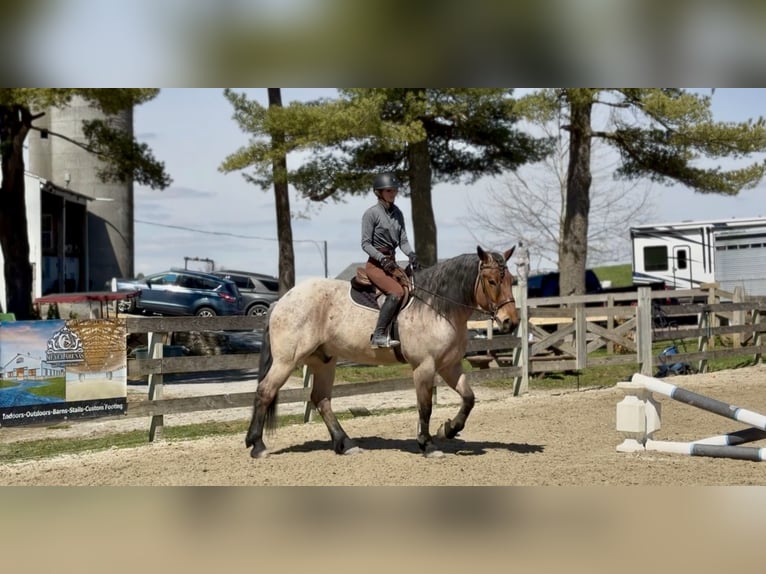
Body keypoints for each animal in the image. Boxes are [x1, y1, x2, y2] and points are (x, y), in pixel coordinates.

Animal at [245, 245, 518, 458]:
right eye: (492, 281)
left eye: (510, 280)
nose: (510, 322)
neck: (436, 307)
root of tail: (282, 301)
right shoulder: (425, 366)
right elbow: (425, 406)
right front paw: (427, 444)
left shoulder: (449, 366)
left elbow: (469, 398)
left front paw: (448, 429)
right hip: (286, 360)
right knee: (265, 391)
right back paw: (257, 445)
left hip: (324, 361)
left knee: (321, 399)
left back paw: (345, 443)